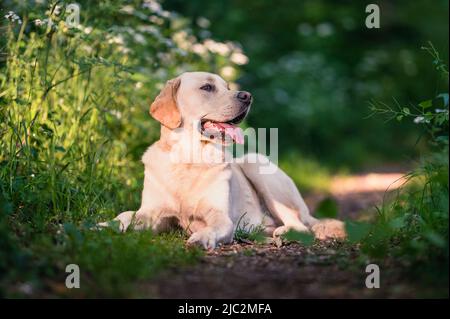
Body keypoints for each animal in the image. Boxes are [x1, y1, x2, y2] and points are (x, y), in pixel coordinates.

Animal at [102, 72, 346, 250]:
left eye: (227, 87)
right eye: (207, 88)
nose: (247, 96)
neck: (189, 158)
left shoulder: (219, 215)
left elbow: (216, 226)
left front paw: (202, 237)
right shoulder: (155, 213)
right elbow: (126, 215)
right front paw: (105, 224)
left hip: (254, 164)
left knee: (299, 225)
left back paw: (284, 233)